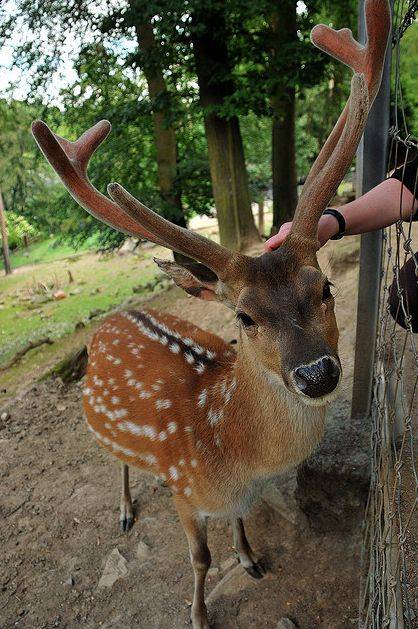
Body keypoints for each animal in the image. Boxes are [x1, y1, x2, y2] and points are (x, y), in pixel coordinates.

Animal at [32, 2, 392, 624]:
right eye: (244, 317)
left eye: (324, 286)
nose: (317, 373)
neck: (233, 455)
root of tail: (114, 318)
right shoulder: (184, 491)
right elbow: (199, 558)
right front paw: (199, 613)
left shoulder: (238, 496)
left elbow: (241, 523)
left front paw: (249, 559)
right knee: (116, 461)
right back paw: (124, 510)